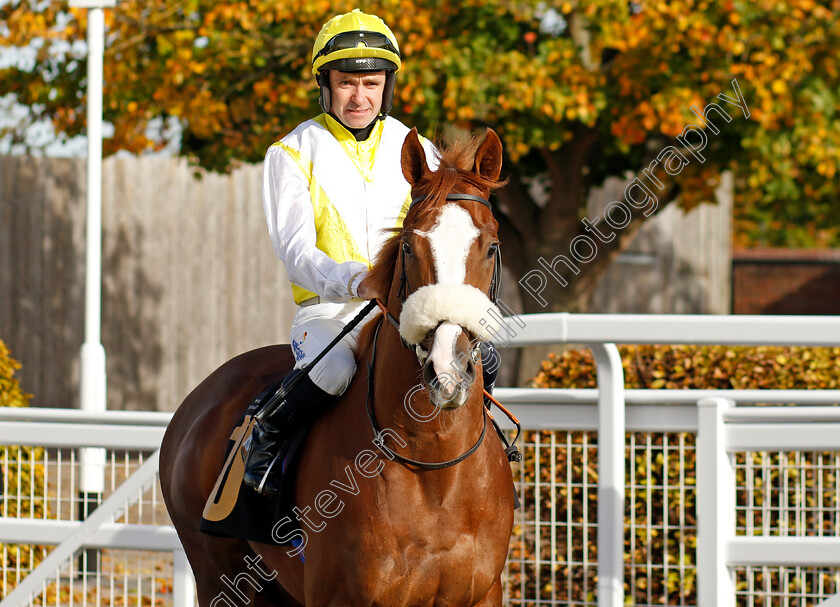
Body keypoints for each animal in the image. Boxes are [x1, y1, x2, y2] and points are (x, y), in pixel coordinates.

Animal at [158, 129, 512, 607]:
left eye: (491, 246)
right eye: (408, 246)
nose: (447, 368)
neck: (433, 471)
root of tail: (197, 401)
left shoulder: (483, 593)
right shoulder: (340, 596)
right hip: (220, 575)